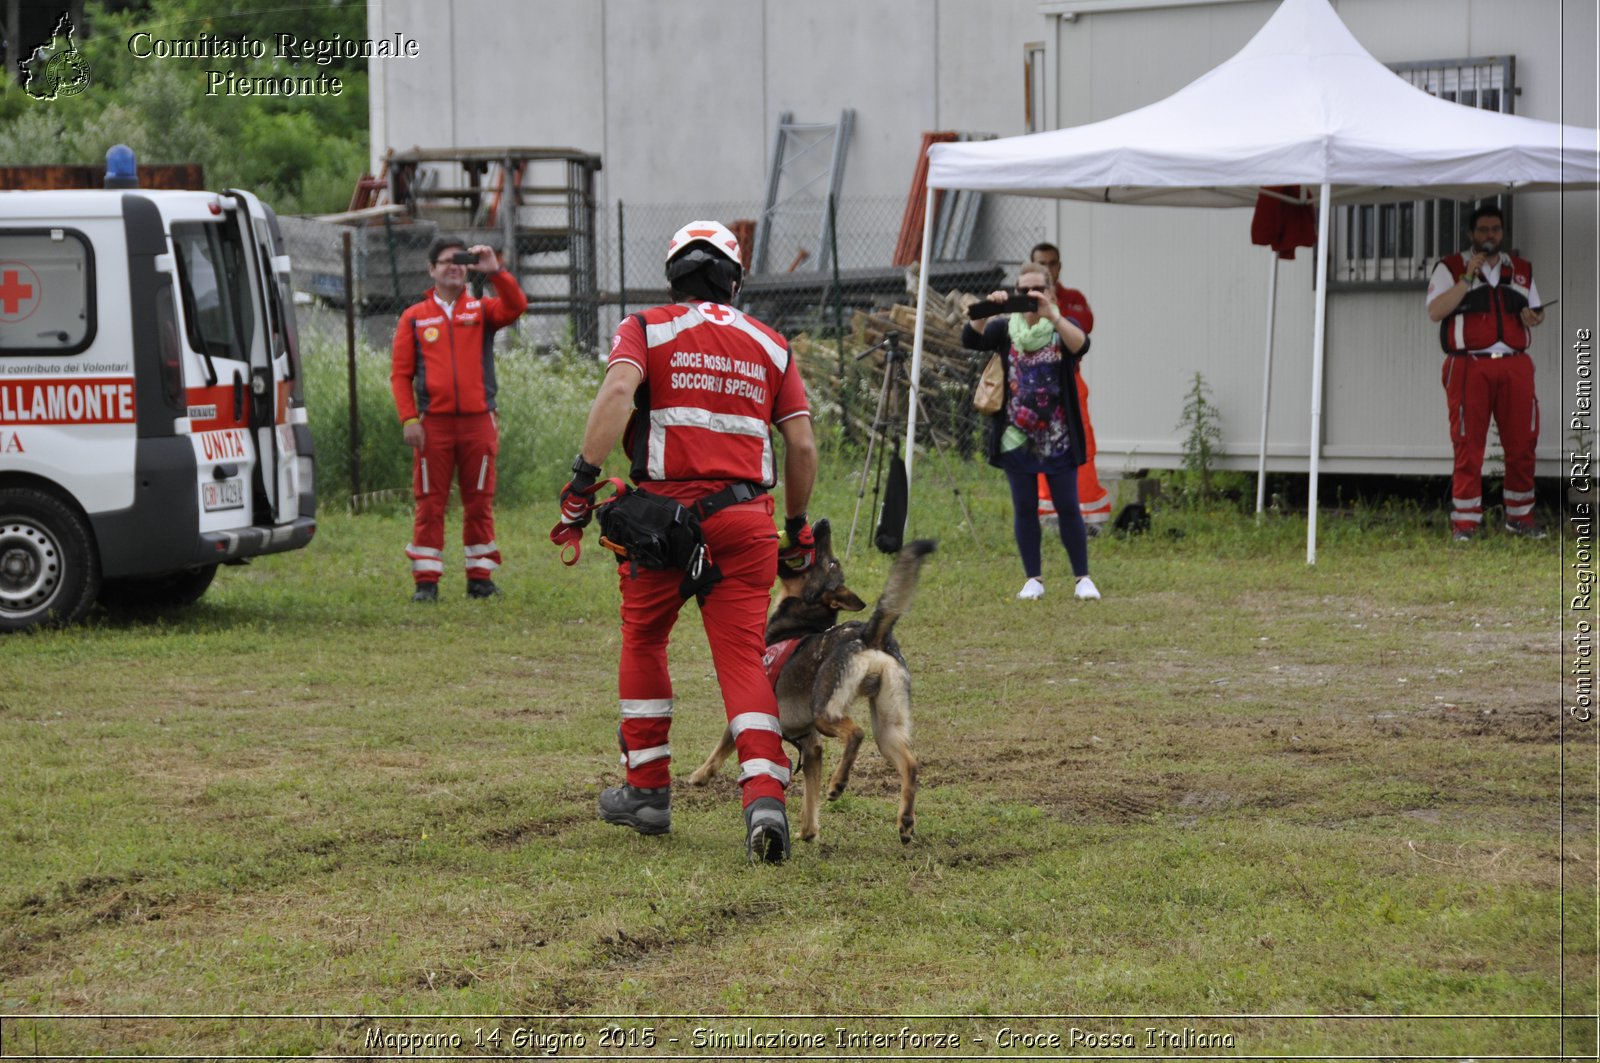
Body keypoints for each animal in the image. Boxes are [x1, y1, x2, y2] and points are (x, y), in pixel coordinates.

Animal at [688, 518, 934, 845]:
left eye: (829, 561)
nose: (821, 522)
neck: (800, 620)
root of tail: (871, 634)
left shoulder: (750, 713)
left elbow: (722, 747)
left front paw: (701, 776)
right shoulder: (810, 745)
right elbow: (810, 796)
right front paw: (807, 831)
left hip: (825, 711)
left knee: (856, 733)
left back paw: (839, 783)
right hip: (887, 729)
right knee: (910, 763)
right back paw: (905, 822)